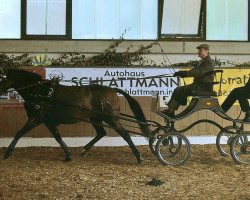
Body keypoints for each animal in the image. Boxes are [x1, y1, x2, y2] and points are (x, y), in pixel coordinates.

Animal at [0, 68, 150, 162]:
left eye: (2, 79)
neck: (38, 91)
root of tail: (112, 90)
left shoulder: (36, 118)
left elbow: (19, 133)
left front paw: (7, 153)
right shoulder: (48, 121)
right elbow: (57, 137)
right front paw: (68, 155)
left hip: (111, 118)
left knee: (125, 134)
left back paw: (138, 157)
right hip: (95, 118)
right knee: (101, 133)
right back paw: (84, 150)